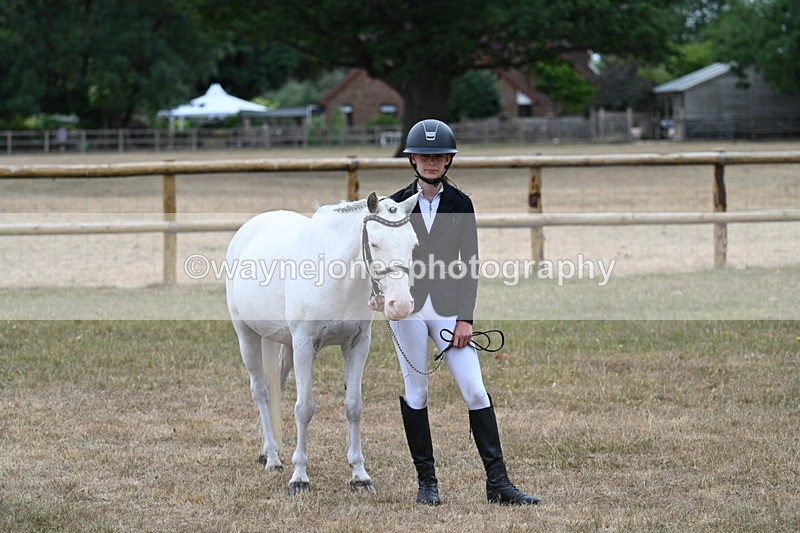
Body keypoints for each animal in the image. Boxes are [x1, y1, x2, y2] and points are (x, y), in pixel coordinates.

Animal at [226, 191, 420, 495]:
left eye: (413, 243)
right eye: (374, 243)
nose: (400, 305)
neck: (334, 275)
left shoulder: (357, 344)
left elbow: (354, 406)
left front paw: (360, 475)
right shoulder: (305, 345)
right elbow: (304, 408)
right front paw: (299, 478)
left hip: (285, 344)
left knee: (276, 387)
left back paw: (271, 451)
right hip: (247, 336)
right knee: (261, 391)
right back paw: (273, 458)